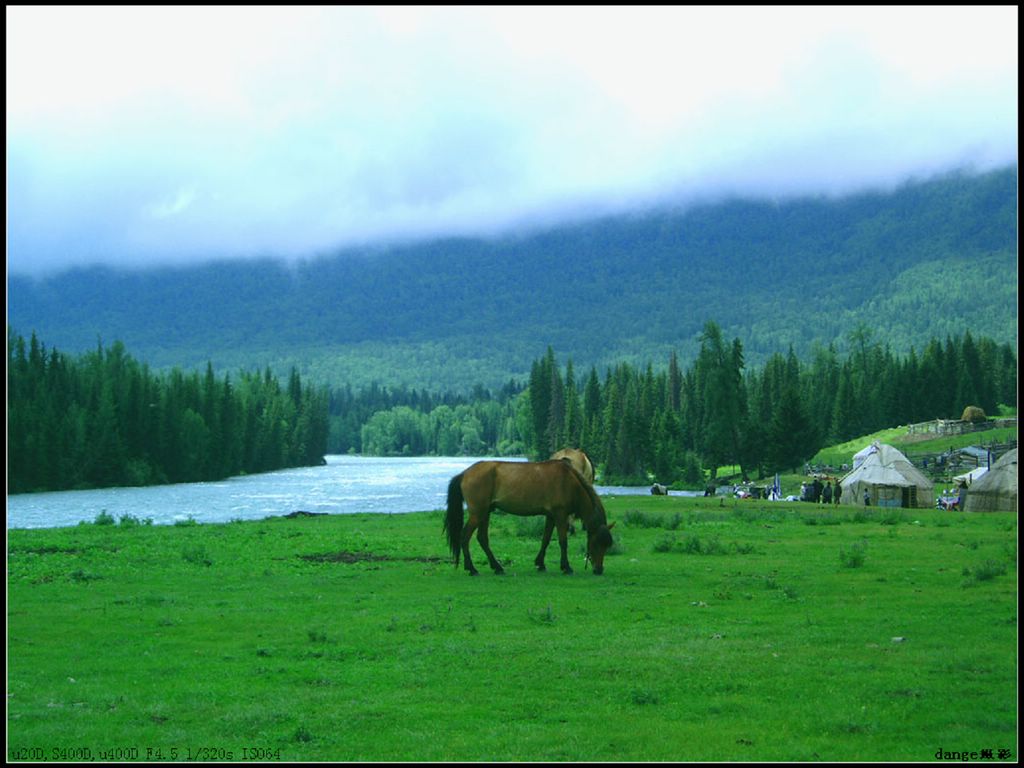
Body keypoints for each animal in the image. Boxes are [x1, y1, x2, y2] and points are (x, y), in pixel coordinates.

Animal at [442, 460, 614, 573]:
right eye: (596, 543)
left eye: (607, 545)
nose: (599, 569)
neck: (568, 482)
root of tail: (464, 474)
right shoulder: (560, 515)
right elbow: (563, 542)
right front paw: (566, 566)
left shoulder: (551, 516)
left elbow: (545, 540)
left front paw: (540, 563)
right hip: (478, 513)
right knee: (465, 536)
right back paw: (471, 568)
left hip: (485, 512)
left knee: (482, 538)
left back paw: (496, 567)